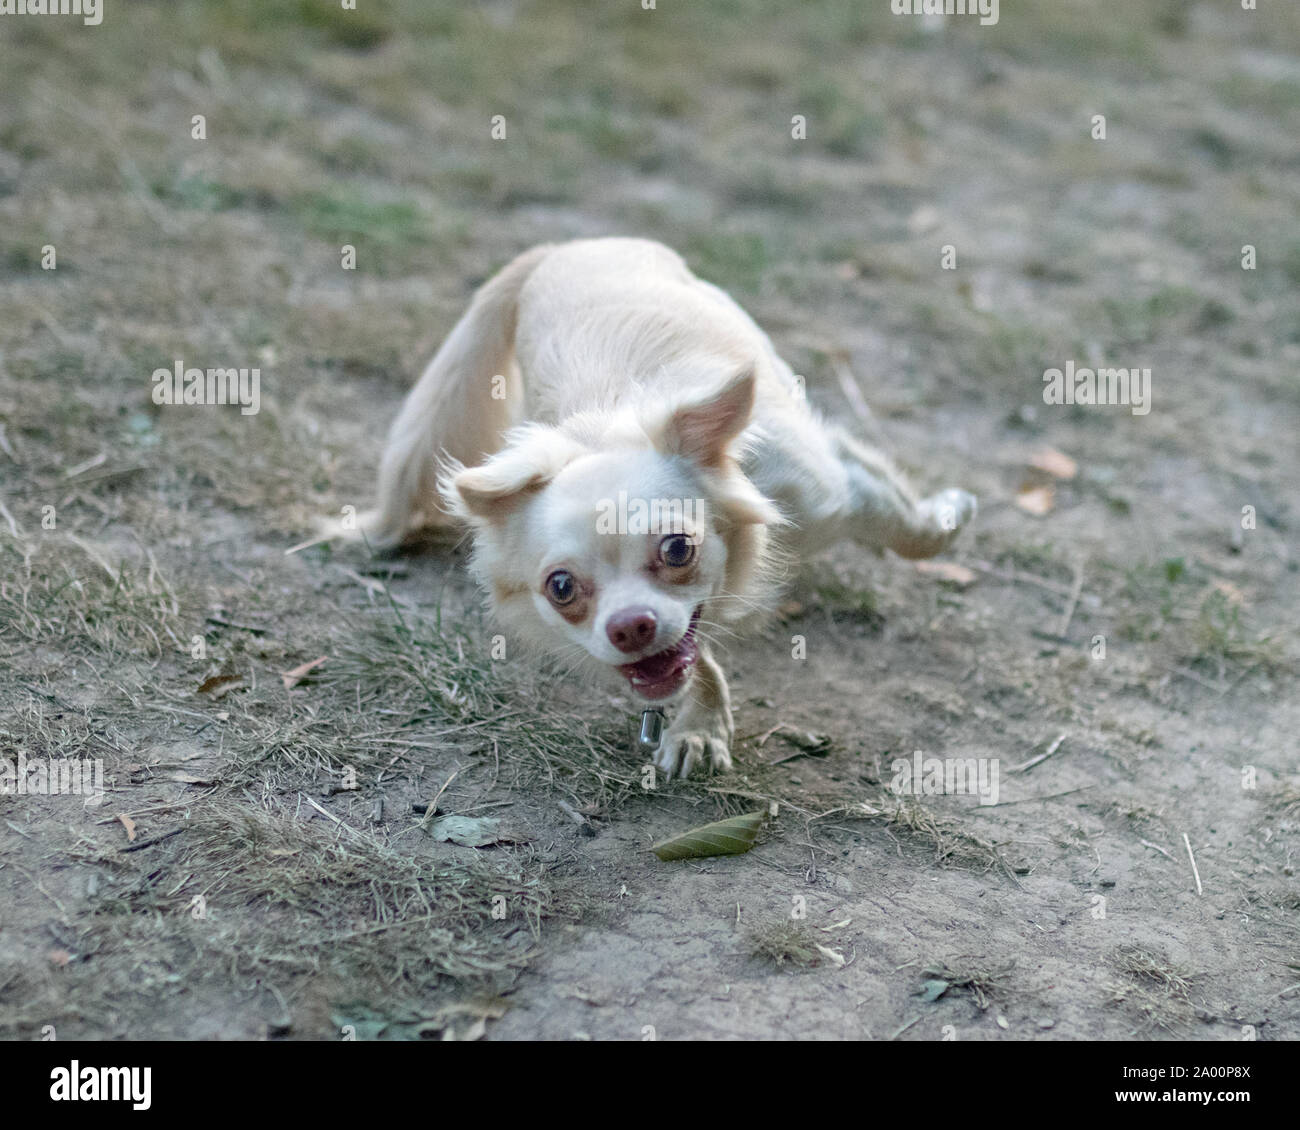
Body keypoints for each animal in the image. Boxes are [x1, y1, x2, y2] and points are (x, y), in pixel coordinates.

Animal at [348, 240, 977, 775]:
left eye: (678, 550)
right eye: (561, 588)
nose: (630, 626)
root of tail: (562, 247)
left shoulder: (832, 492)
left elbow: (907, 528)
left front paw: (949, 516)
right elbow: (697, 658)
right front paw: (701, 729)